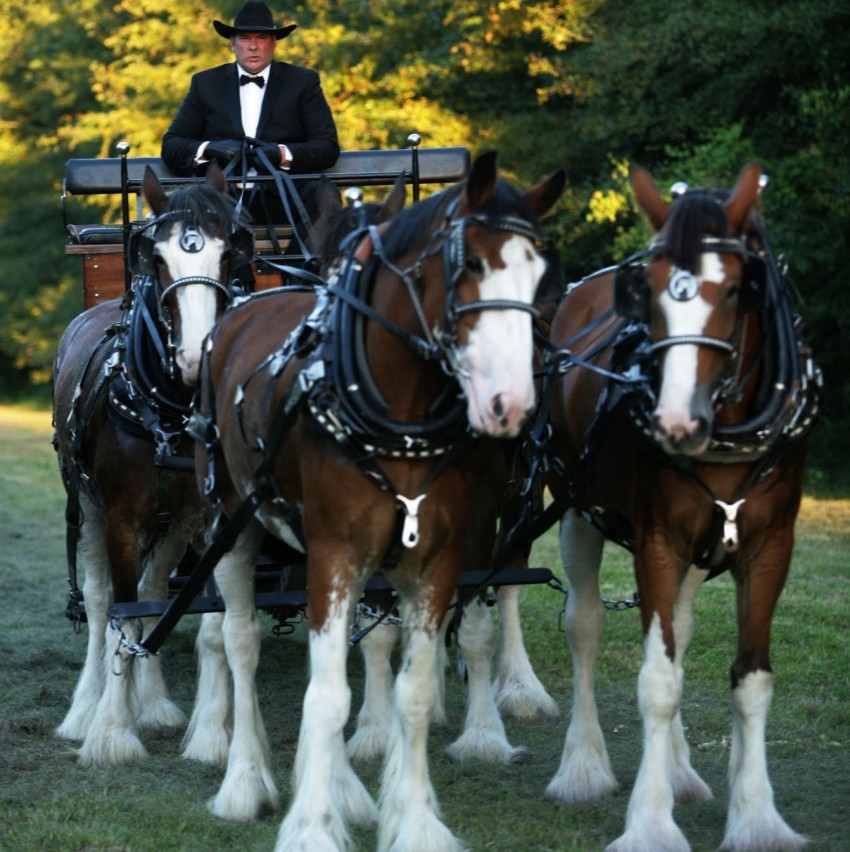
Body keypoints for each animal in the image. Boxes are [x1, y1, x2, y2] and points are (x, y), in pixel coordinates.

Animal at [52, 164, 253, 766]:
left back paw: (156, 703)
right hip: (88, 508)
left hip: (170, 526)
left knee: (156, 588)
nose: (194, 357)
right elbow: (121, 614)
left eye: (231, 254)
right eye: (155, 259)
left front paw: (211, 735)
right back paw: (86, 709)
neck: (169, 412)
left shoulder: (213, 523)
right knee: (101, 604)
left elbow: (207, 623)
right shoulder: (119, 521)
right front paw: (112, 733)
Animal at [190, 149, 565, 849]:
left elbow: (409, 687)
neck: (397, 413)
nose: (511, 403)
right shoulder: (333, 555)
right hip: (231, 519)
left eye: (540, 276)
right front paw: (313, 824)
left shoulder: (435, 559)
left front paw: (409, 819)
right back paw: (244, 780)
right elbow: (326, 693)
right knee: (239, 641)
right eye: (470, 265)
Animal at [543, 162, 820, 850]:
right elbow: (657, 680)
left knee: (680, 631)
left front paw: (756, 816)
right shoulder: (658, 540)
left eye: (736, 291)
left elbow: (750, 678)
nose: (674, 422)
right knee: (584, 625)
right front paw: (649, 821)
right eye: (649, 293)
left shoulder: (769, 544)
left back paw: (679, 769)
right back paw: (583, 766)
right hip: (576, 510)